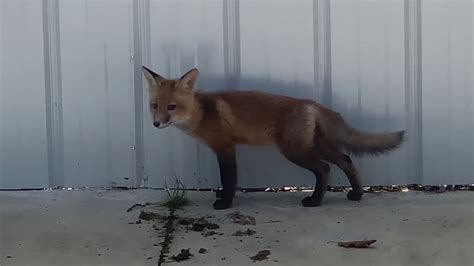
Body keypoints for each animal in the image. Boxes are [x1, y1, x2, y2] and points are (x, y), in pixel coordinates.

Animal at [143, 66, 406, 210]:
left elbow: (229, 179)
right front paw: (222, 196)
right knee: (345, 160)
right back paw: (357, 194)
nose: (156, 123)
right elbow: (228, 180)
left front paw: (225, 203)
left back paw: (315, 201)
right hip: (316, 146)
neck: (201, 113)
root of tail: (311, 104)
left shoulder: (226, 148)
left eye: (172, 107)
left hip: (294, 150)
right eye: (155, 106)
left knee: (324, 168)